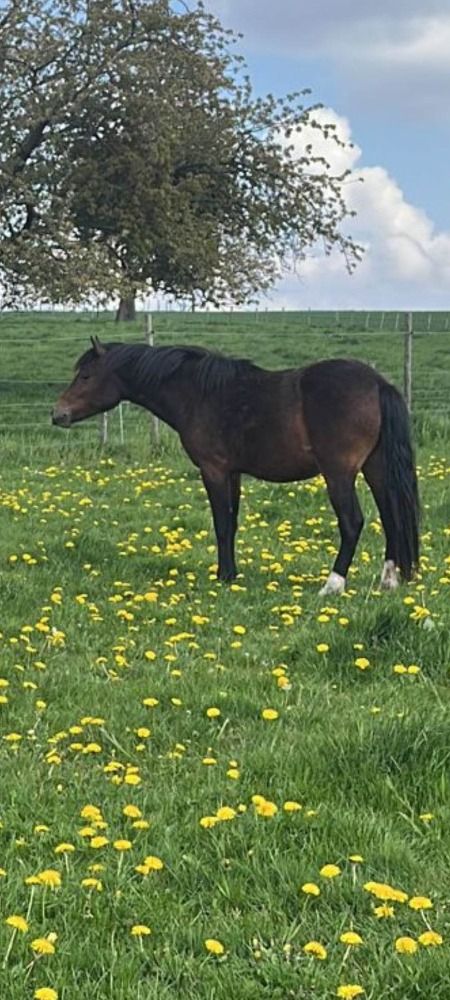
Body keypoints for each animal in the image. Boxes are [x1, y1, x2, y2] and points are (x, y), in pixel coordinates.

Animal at [52, 337, 419, 595]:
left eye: (85, 376)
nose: (58, 414)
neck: (200, 394)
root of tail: (377, 383)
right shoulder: (233, 474)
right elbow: (233, 523)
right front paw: (232, 573)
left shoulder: (213, 470)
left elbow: (221, 524)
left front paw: (223, 576)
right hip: (375, 469)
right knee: (391, 517)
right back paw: (388, 580)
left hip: (339, 473)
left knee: (353, 522)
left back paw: (332, 584)